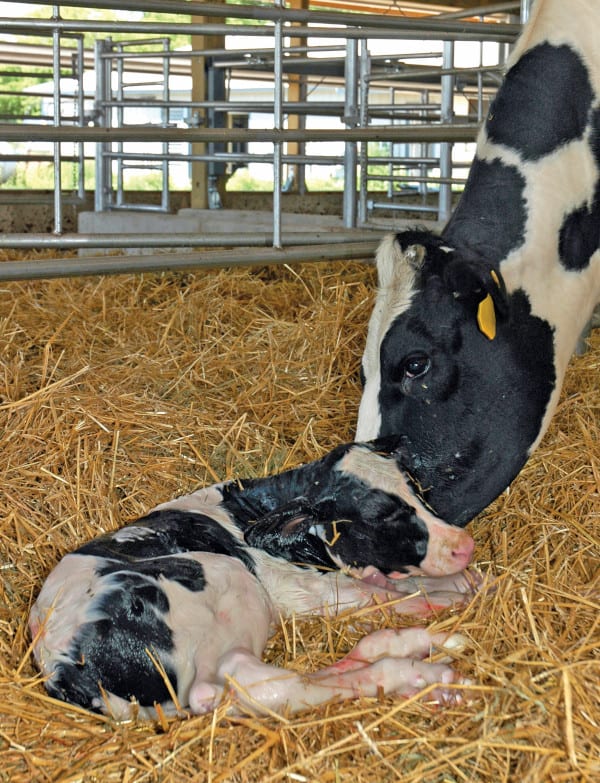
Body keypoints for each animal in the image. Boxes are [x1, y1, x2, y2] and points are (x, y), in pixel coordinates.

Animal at [29, 437, 480, 720]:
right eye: (382, 515)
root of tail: (60, 662)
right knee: (252, 684)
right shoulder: (293, 587)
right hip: (221, 578)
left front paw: (463, 581)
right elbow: (376, 595)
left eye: (418, 490)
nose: (465, 545)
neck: (245, 512)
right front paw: (461, 593)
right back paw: (419, 672)